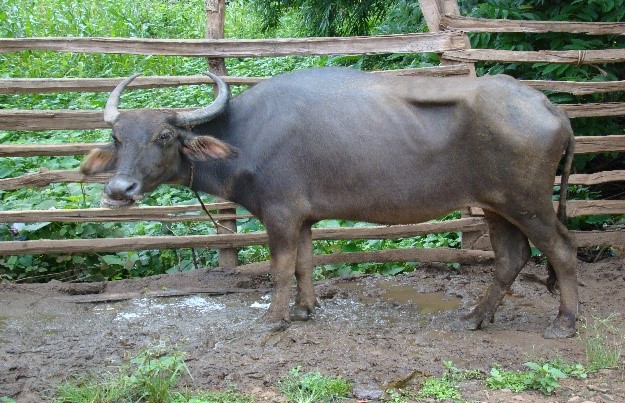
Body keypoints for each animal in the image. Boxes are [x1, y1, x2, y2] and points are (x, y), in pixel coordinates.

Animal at [80, 68, 576, 340]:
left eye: (164, 136)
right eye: (117, 137)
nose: (119, 189)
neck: (244, 136)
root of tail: (550, 108)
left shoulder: (279, 215)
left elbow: (279, 269)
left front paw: (276, 318)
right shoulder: (303, 217)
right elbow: (304, 263)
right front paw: (304, 310)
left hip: (528, 203)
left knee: (562, 250)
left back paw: (564, 321)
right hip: (497, 206)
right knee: (511, 257)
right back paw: (476, 317)